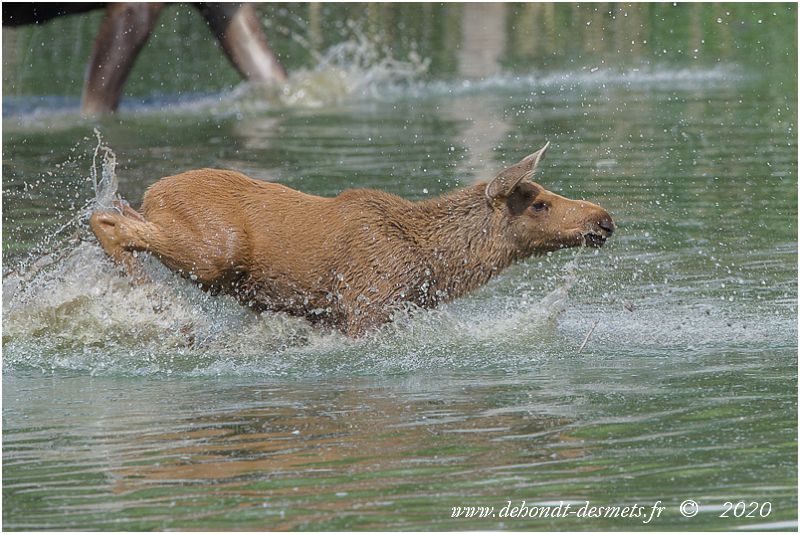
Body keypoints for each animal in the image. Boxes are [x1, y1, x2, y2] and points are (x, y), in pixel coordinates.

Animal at [90, 144, 612, 338]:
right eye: (539, 203)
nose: (604, 219)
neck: (436, 265)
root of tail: (154, 192)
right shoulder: (366, 308)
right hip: (214, 251)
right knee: (106, 220)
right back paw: (150, 297)